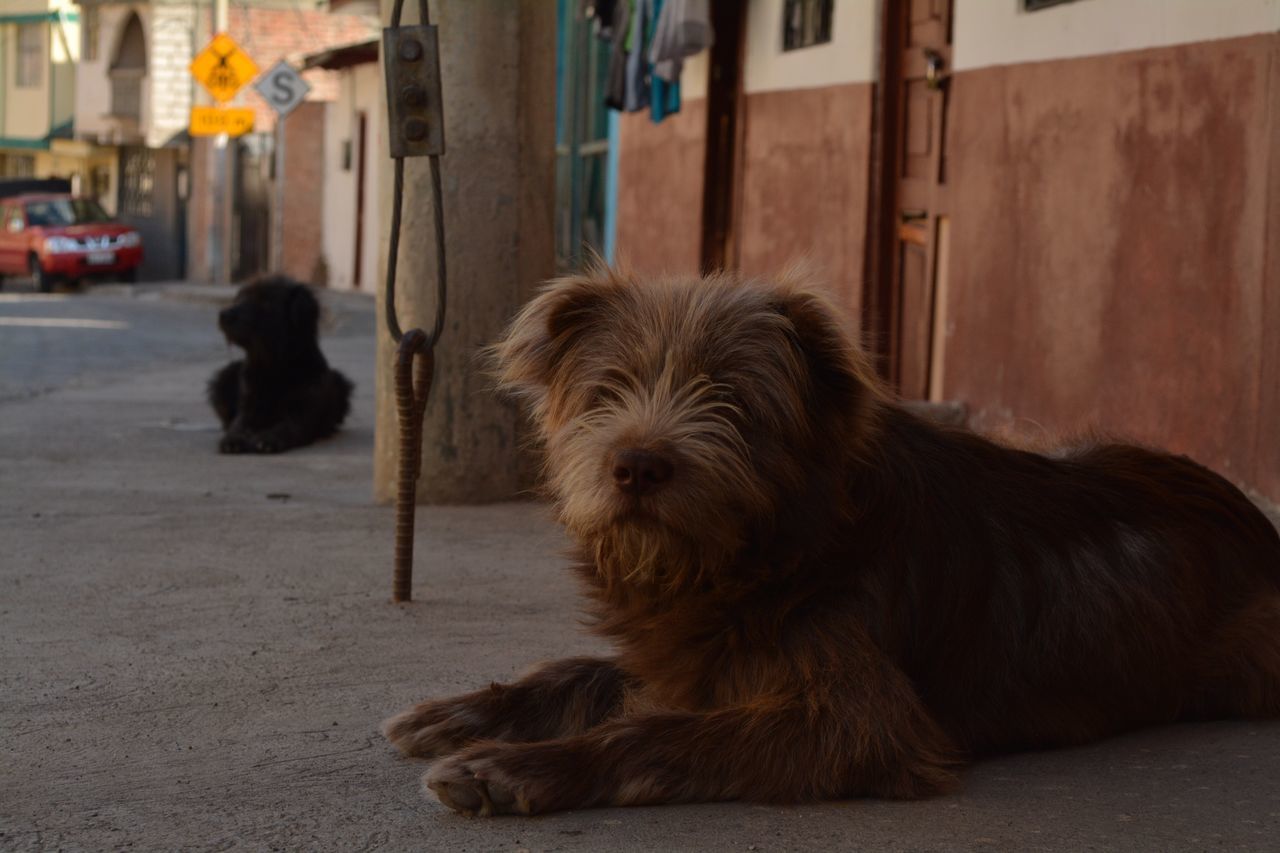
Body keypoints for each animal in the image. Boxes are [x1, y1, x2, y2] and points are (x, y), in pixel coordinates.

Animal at [208, 277, 353, 450]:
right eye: (241, 298)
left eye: (266, 302)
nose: (223, 315)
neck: (272, 367)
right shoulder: (247, 409)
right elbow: (238, 425)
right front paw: (233, 438)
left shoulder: (302, 413)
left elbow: (286, 427)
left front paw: (269, 438)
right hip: (225, 375)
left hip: (341, 382)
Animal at [381, 268, 1280, 814]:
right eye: (608, 389)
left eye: (731, 398)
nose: (636, 466)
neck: (772, 541)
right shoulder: (691, 650)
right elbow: (582, 669)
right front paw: (465, 712)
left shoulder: (861, 719)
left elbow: (664, 732)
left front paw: (512, 767)